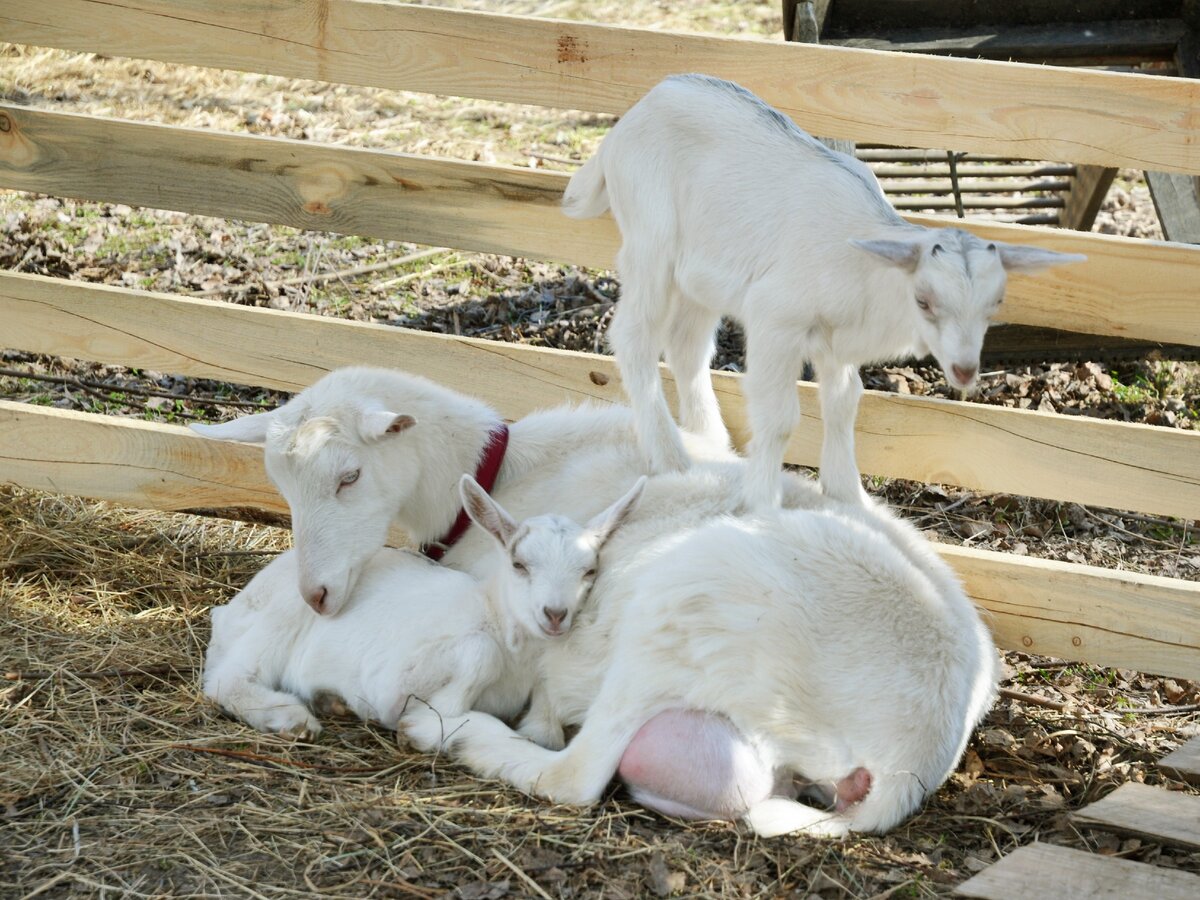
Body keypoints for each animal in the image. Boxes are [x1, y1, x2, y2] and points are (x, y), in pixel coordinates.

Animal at [204, 475, 648, 744]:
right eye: (519, 564)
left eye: (589, 570)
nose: (555, 614)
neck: (494, 618)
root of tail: (228, 610)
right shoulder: (392, 679)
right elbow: (478, 655)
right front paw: (431, 720)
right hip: (281, 617)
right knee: (226, 680)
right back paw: (291, 718)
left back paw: (329, 702)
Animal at [564, 74, 1089, 511]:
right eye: (924, 300)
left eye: (994, 305)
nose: (963, 370)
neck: (869, 273)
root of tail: (630, 118)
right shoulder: (776, 317)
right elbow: (779, 418)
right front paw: (762, 504)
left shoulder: (838, 342)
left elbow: (844, 403)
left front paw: (849, 496)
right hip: (651, 241)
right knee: (634, 339)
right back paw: (670, 455)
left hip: (702, 273)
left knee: (687, 346)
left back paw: (709, 440)